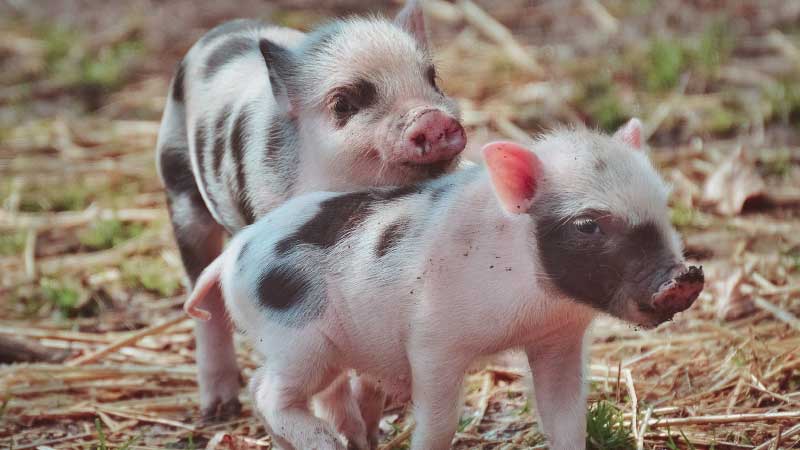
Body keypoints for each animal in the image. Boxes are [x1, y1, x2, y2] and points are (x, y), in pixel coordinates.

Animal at [155, 0, 466, 419]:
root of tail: (218, 30)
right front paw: (346, 423)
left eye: (432, 78)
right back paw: (219, 410)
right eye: (343, 103)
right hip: (179, 187)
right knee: (205, 298)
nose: (430, 117)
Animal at [184, 119, 705, 450]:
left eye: (663, 204)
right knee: (266, 392)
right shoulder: (433, 341)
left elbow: (565, 417)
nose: (683, 277)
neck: (534, 304)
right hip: (298, 341)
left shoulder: (558, 341)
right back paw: (325, 443)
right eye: (588, 226)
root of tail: (232, 254)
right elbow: (437, 422)